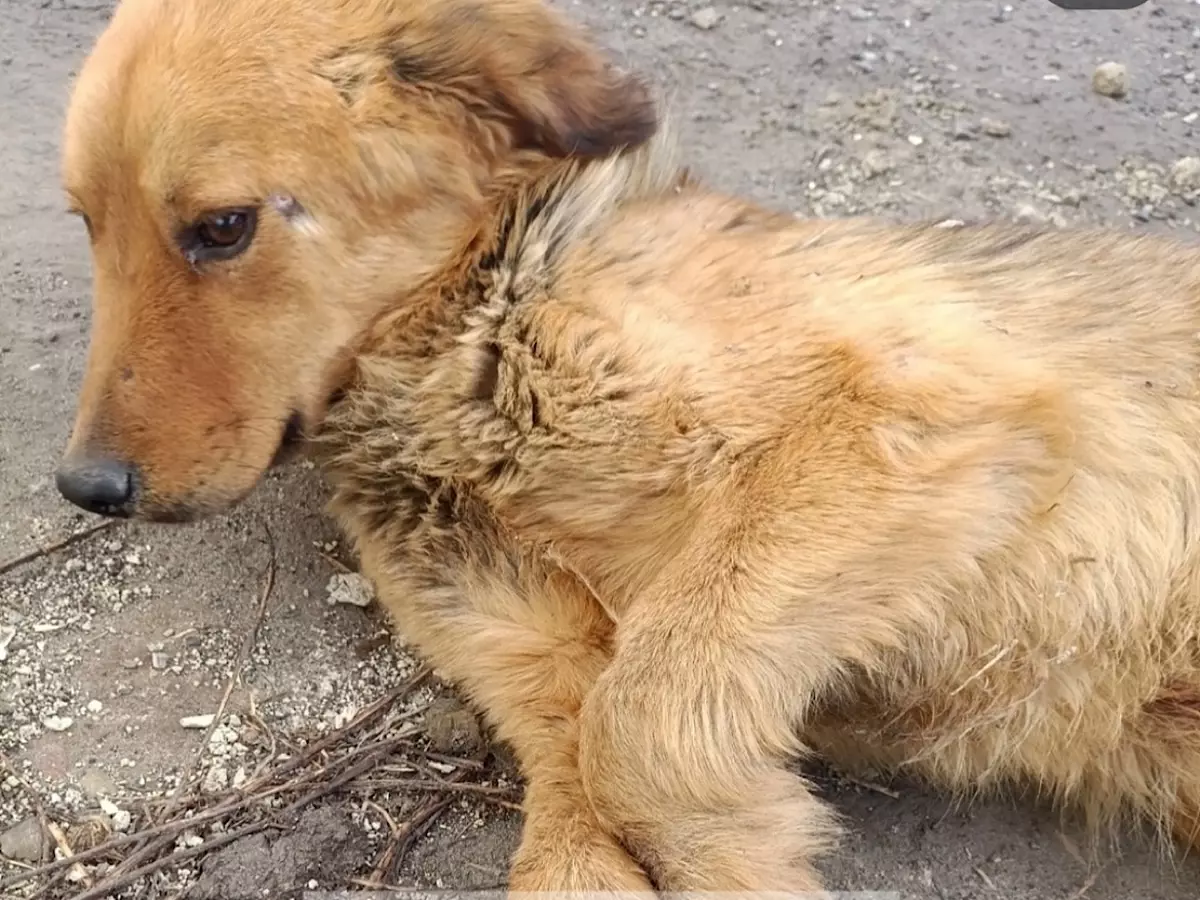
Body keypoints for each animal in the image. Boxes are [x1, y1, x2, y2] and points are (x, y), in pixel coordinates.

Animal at [54, 0, 1200, 897]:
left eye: (222, 227)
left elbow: (640, 721)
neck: (469, 337)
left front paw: (732, 848)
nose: (85, 488)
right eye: (87, 223)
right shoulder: (515, 629)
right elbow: (581, 767)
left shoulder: (909, 414)